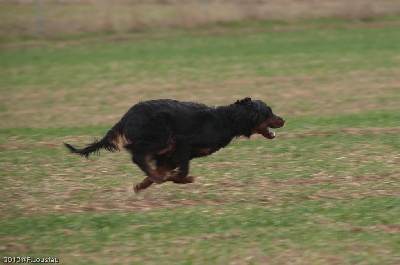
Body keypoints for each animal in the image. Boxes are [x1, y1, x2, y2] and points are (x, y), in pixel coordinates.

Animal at [63, 97, 284, 192]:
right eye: (269, 112)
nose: (283, 120)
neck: (226, 120)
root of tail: (126, 117)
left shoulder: (177, 154)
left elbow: (165, 170)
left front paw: (142, 185)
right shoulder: (182, 145)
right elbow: (181, 172)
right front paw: (181, 179)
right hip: (162, 137)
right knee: (136, 154)